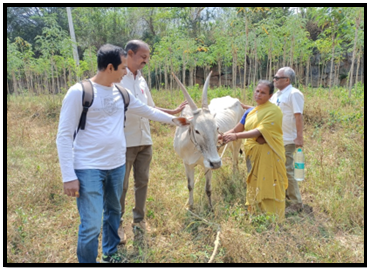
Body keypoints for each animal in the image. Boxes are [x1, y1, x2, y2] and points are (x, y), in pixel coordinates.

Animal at [172, 71, 244, 209]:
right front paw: (191, 206)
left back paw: (234, 177)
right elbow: (190, 186)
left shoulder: (208, 165)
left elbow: (208, 188)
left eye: (216, 128)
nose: (216, 163)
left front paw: (210, 208)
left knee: (235, 160)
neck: (192, 148)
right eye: (197, 131)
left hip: (237, 140)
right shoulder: (187, 163)